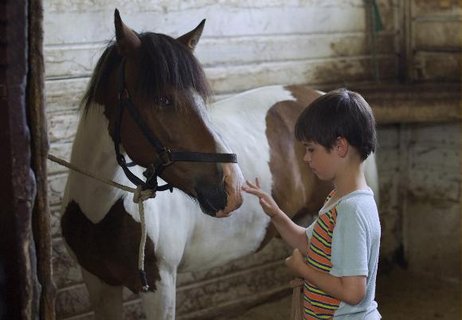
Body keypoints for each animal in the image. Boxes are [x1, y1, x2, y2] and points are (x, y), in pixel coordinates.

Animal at [61, 9, 378, 320]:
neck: (101, 208)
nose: (232, 185)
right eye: (163, 99)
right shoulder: (98, 283)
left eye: (202, 99)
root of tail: (319, 94)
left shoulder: (159, 286)